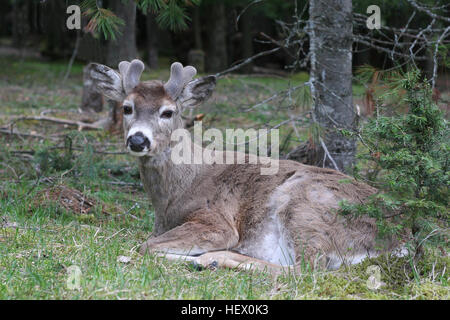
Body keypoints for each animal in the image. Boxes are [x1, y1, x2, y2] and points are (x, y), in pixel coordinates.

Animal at [88, 58, 400, 274]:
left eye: (168, 112)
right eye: (127, 108)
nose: (138, 139)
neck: (173, 196)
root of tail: (400, 239)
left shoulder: (216, 222)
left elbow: (145, 245)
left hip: (305, 205)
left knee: (306, 269)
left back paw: (207, 260)